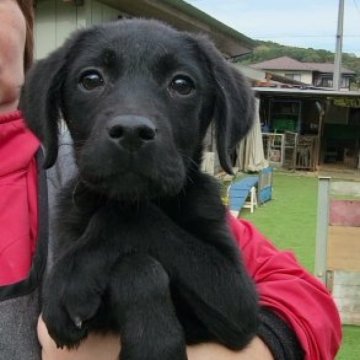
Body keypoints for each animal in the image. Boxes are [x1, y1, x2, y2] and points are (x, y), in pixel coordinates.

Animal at [21, 19, 258, 360]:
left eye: (182, 84)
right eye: (91, 79)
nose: (132, 131)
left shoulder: (239, 300)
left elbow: (130, 225)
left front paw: (71, 278)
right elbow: (136, 258)